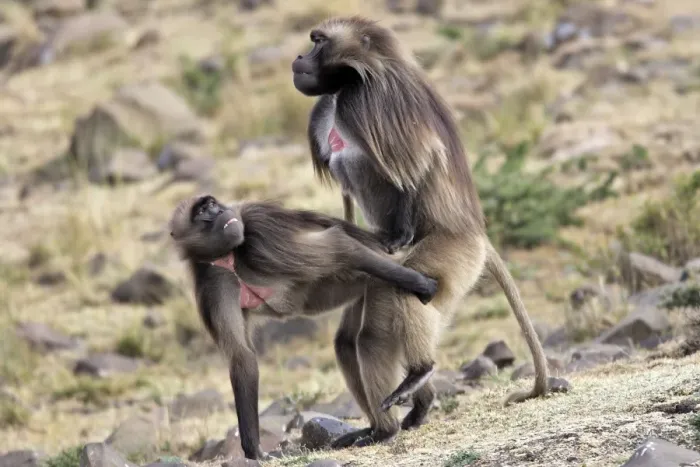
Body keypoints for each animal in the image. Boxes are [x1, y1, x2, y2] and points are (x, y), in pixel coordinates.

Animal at [168, 194, 439, 460]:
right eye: (202, 212)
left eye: (212, 204)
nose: (222, 212)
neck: (229, 257)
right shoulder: (212, 284)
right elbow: (241, 357)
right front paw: (254, 450)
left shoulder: (259, 232)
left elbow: (337, 245)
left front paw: (423, 284)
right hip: (367, 287)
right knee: (347, 345)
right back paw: (399, 414)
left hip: (383, 278)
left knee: (370, 339)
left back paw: (400, 407)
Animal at [291, 16, 551, 448]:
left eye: (318, 42)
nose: (297, 58)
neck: (357, 77)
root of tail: (478, 235)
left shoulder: (365, 102)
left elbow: (419, 163)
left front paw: (398, 233)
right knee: (350, 340)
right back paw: (401, 414)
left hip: (454, 255)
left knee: (395, 304)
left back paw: (414, 384)